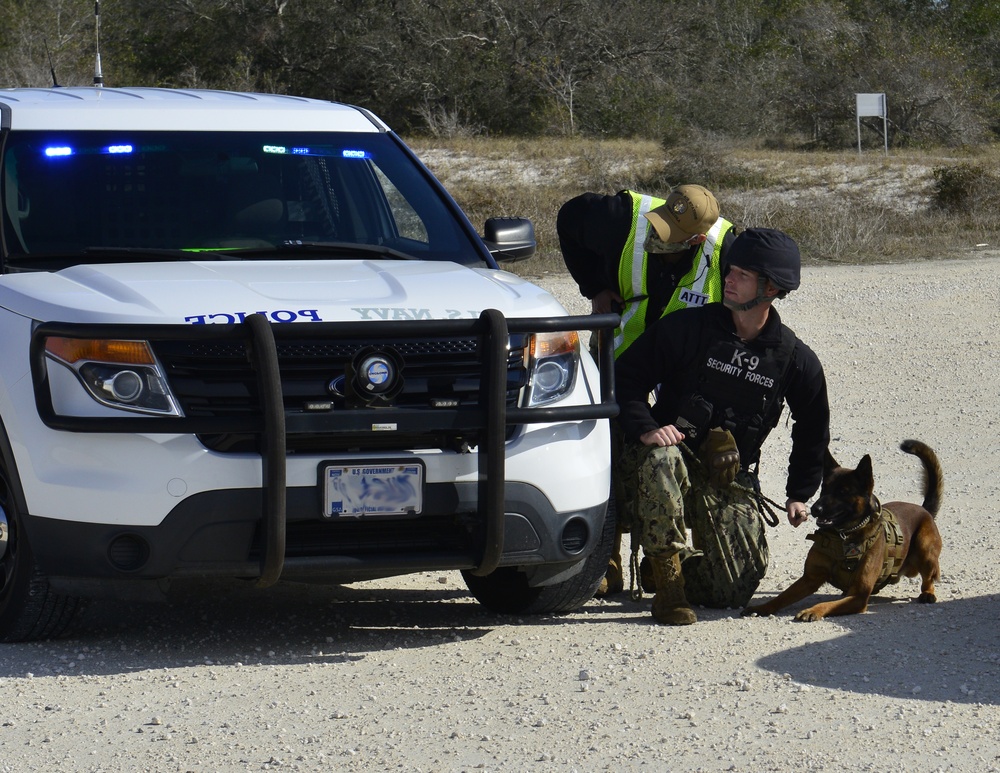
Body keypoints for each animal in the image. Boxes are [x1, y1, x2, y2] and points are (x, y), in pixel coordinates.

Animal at [744, 440, 944, 620]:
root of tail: (924, 509)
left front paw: (813, 610)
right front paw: (762, 607)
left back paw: (928, 593)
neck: (843, 536)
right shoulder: (809, 579)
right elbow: (782, 596)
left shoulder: (858, 597)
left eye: (843, 491)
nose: (815, 509)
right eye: (824, 488)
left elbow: (827, 603)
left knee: (929, 577)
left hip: (925, 549)